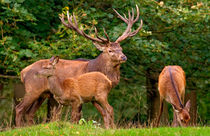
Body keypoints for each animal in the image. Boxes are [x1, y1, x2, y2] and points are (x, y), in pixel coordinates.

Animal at [14, 4, 143, 127]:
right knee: (19, 108)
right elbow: (84, 116)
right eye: (110, 50)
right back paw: (19, 128)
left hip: (42, 94)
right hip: (32, 89)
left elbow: (102, 113)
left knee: (30, 113)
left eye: (121, 48)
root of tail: (23, 72)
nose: (123, 57)